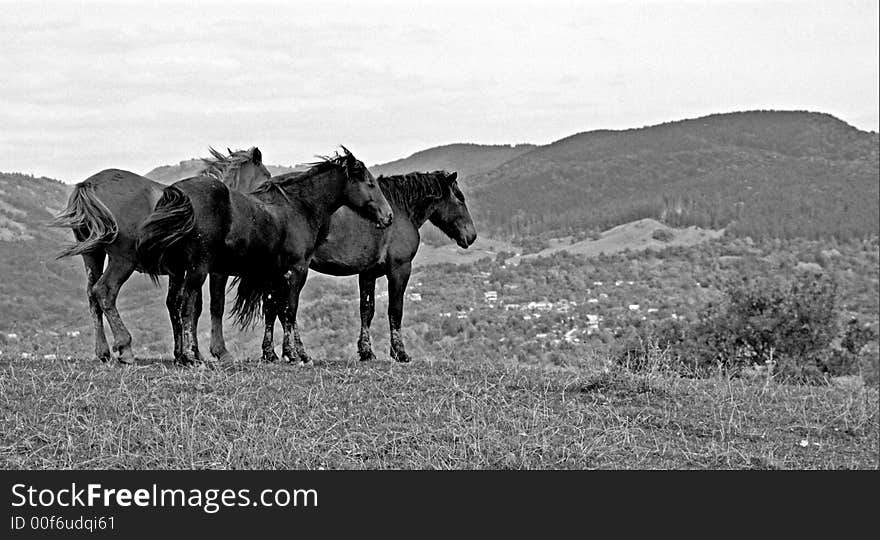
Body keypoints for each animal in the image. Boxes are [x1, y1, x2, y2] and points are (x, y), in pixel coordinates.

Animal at [47, 147, 268, 362]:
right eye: (266, 176)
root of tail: (89, 185)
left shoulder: (177, 271)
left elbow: (175, 305)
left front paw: (182, 353)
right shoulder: (210, 270)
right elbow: (209, 306)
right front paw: (211, 352)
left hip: (93, 255)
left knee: (92, 296)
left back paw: (103, 351)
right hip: (123, 260)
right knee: (104, 291)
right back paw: (125, 347)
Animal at [136, 148, 394, 364]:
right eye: (370, 184)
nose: (388, 216)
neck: (299, 207)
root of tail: (179, 193)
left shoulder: (272, 273)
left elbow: (273, 309)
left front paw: (275, 354)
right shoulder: (296, 270)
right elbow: (289, 310)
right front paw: (294, 355)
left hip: (179, 270)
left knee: (176, 304)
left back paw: (183, 355)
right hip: (196, 269)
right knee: (187, 306)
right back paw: (191, 357)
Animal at [306, 169, 478, 362]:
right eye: (460, 199)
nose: (472, 235)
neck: (399, 210)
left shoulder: (368, 273)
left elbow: (367, 310)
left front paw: (366, 352)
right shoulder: (400, 270)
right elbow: (395, 310)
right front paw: (399, 352)